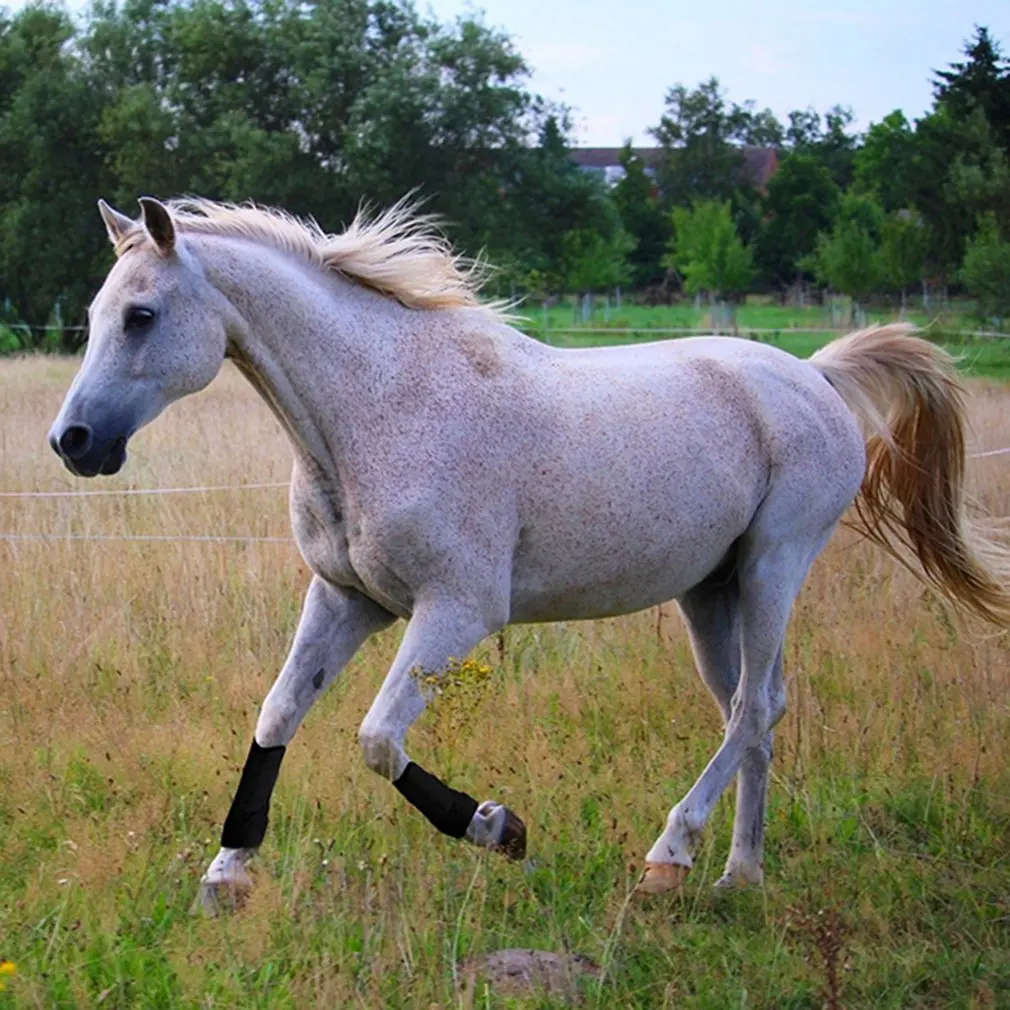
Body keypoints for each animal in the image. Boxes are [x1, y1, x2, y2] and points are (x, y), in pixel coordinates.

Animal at [49, 194, 1010, 909]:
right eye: (94, 315)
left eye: (141, 315)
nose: (73, 442)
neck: (376, 409)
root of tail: (815, 375)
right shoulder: (345, 598)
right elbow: (277, 715)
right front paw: (227, 875)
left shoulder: (457, 611)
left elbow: (377, 740)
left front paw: (499, 829)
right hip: (712, 592)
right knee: (753, 713)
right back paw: (740, 877)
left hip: (777, 565)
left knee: (754, 709)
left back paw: (669, 857)